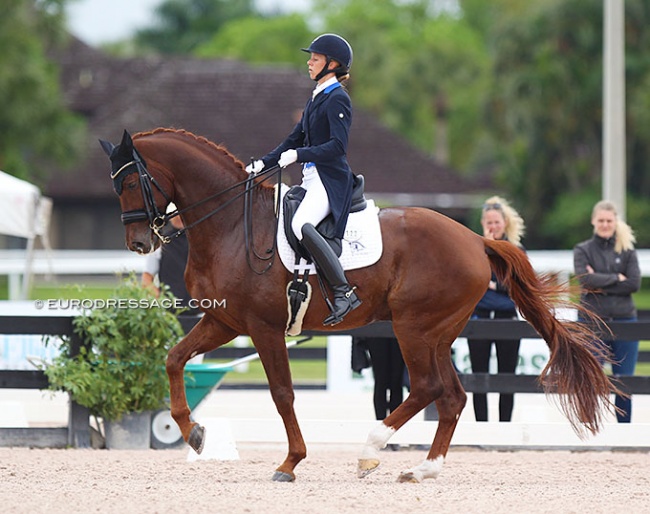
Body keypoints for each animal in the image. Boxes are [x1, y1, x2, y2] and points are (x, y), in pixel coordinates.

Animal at [98, 127, 616, 480]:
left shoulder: (264, 328)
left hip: (413, 328)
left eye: (132, 183)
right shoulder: (224, 321)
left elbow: (282, 393)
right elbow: (174, 358)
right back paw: (424, 469)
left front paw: (290, 462)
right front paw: (194, 433)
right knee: (451, 396)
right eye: (115, 186)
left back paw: (371, 449)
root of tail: (475, 239)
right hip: (438, 333)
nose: (139, 243)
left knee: (427, 388)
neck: (230, 225)